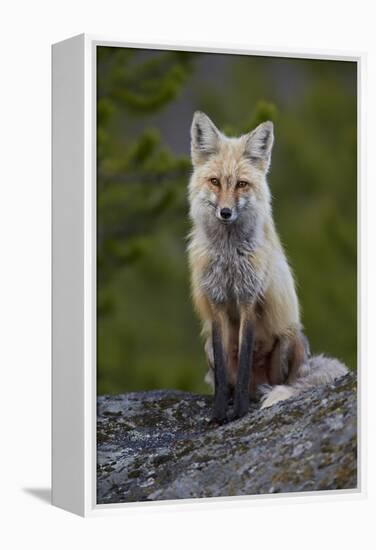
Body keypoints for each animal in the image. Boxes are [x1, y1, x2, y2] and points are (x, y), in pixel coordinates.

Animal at [187, 111, 348, 422]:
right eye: (215, 182)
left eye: (241, 184)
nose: (225, 212)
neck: (229, 255)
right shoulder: (216, 303)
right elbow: (223, 373)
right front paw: (219, 412)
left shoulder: (249, 299)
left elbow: (245, 359)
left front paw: (238, 413)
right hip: (208, 346)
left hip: (288, 337)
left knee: (279, 382)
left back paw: (259, 396)